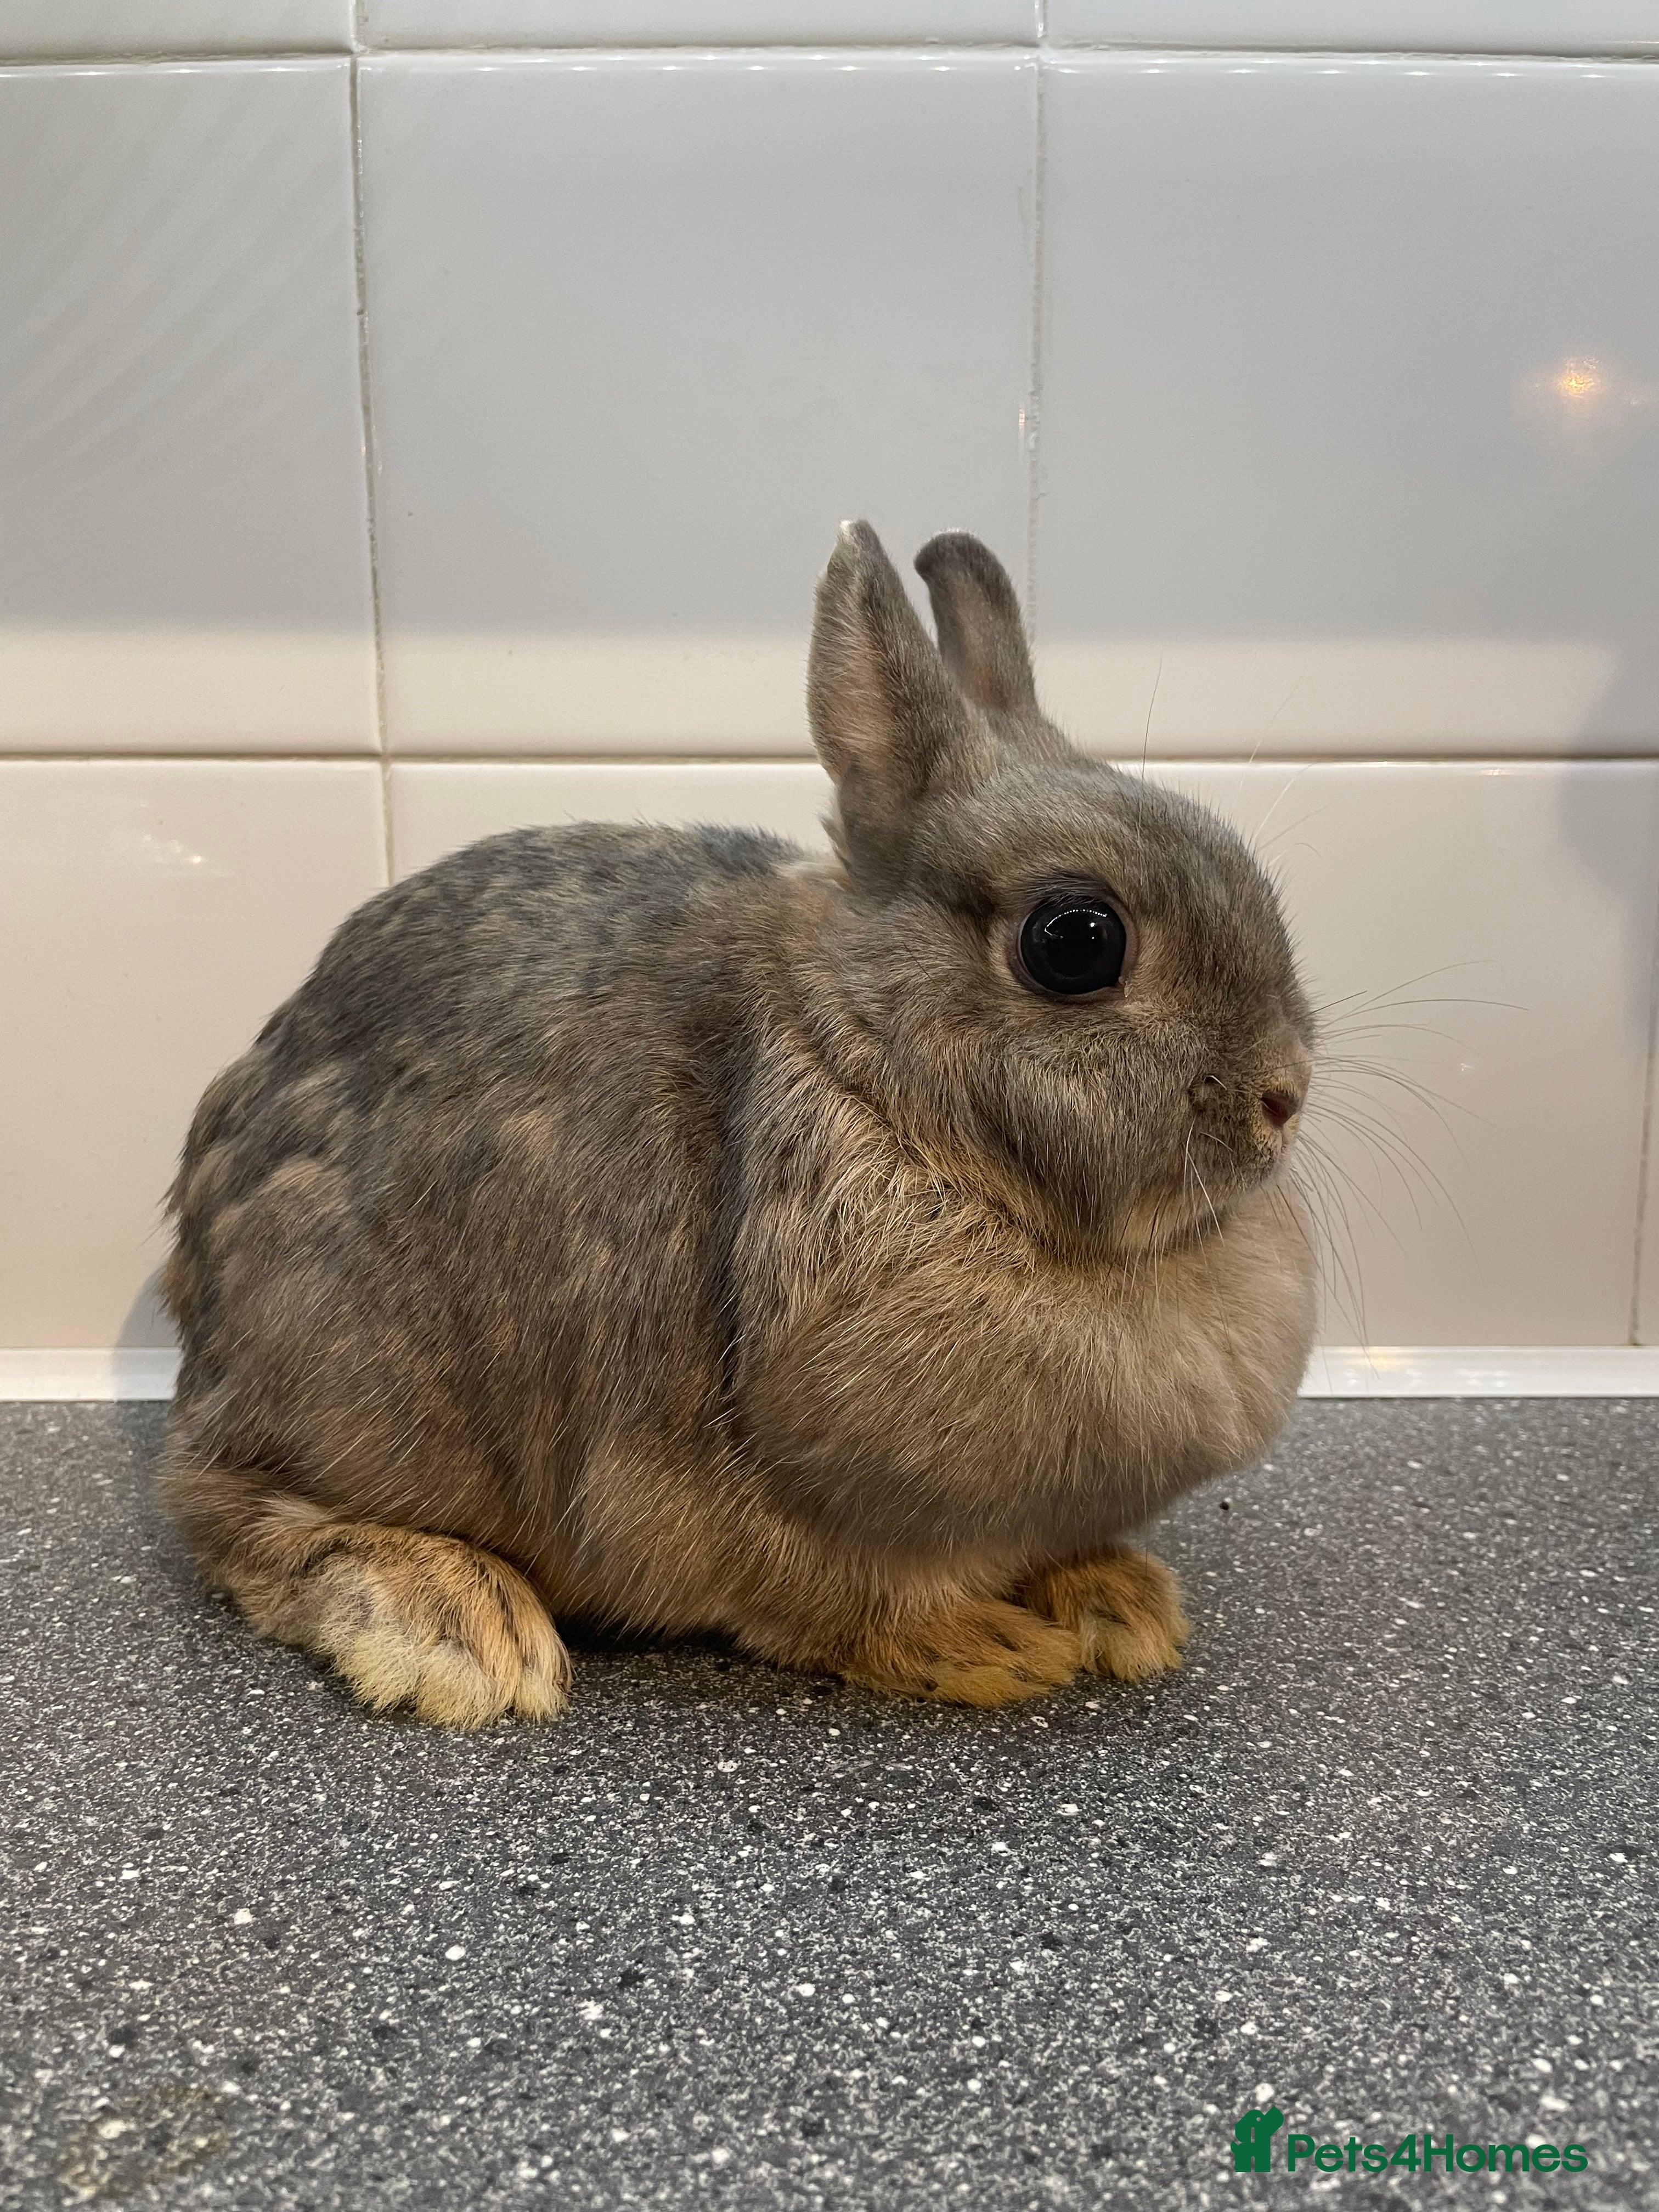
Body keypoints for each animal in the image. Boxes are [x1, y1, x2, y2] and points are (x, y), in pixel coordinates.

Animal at [160, 522, 1316, 1727]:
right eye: (1076, 940)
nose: (1283, 1095)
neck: (877, 1083)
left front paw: (1121, 1602)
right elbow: (851, 1606)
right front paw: (991, 1648)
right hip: (342, 1365)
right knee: (229, 1512)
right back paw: (459, 1627)